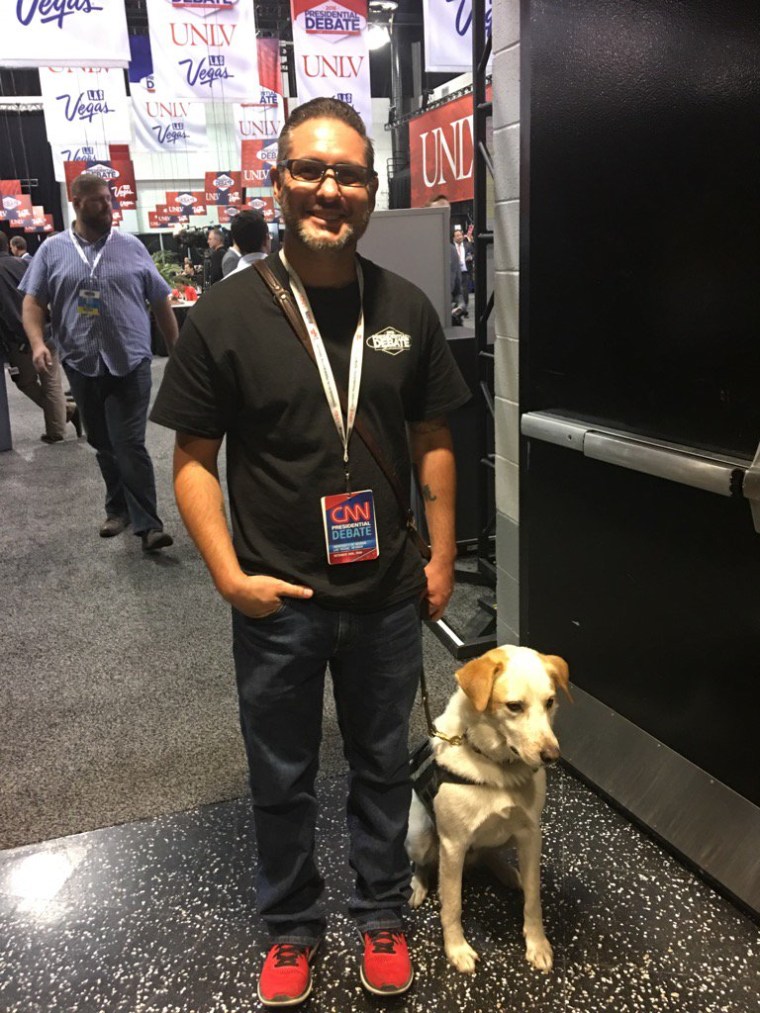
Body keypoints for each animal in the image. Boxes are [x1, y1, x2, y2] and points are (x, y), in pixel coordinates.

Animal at [407, 648, 567, 972]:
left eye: (550, 702)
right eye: (514, 706)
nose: (552, 756)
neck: (498, 767)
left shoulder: (531, 834)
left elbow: (534, 898)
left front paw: (537, 944)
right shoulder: (453, 845)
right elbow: (452, 905)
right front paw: (457, 949)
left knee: (489, 855)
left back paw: (509, 873)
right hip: (418, 835)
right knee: (422, 864)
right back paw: (419, 884)